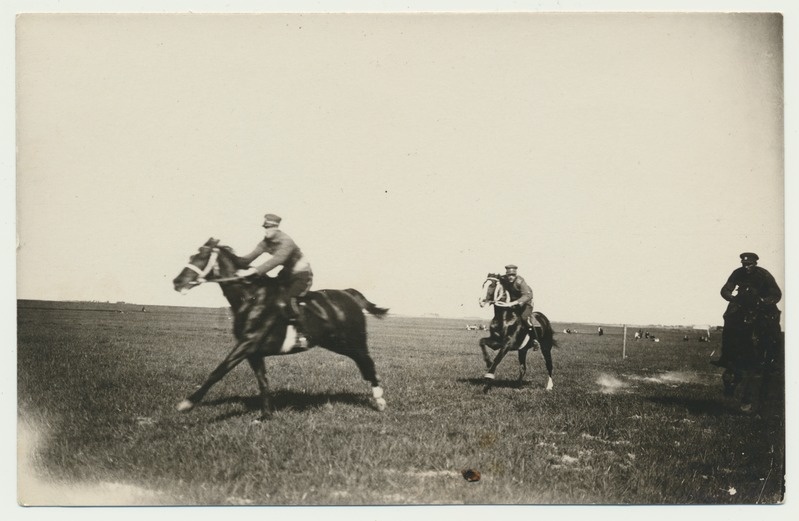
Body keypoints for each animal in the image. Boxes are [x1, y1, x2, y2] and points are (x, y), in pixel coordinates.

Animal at [173, 237, 390, 418]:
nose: (177, 282)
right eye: (192, 256)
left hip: (352, 340)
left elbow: (219, 371)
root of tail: (348, 293)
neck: (250, 297)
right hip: (336, 343)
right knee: (363, 363)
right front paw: (265, 415)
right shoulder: (254, 353)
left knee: (367, 362)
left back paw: (379, 399)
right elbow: (263, 382)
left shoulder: (247, 343)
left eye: (201, 257)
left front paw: (187, 403)